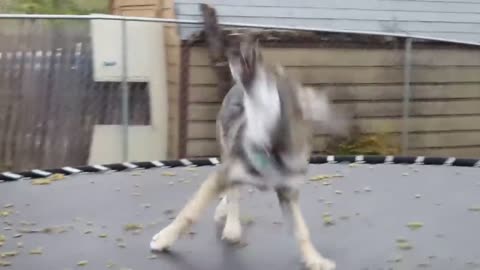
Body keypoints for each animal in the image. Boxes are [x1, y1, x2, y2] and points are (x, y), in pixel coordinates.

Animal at [150, 35, 338, 270]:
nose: (245, 52)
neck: (270, 145)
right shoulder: (225, 173)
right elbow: (190, 213)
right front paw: (165, 239)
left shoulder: (288, 191)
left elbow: (301, 230)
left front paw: (313, 258)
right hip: (226, 150)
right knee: (233, 192)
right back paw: (231, 224)